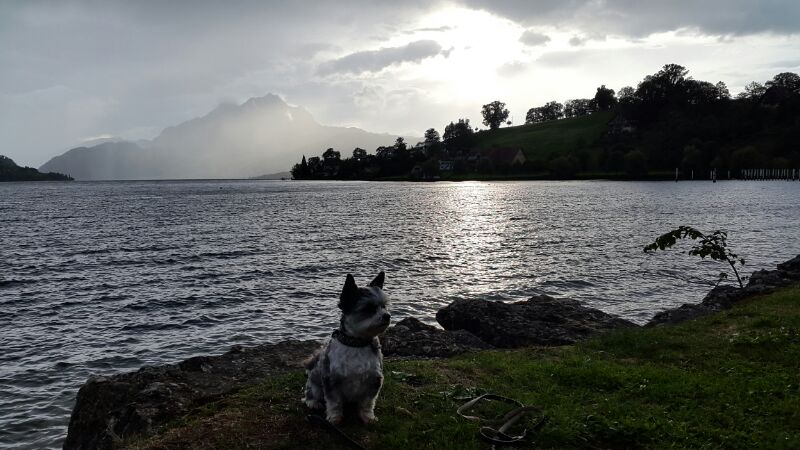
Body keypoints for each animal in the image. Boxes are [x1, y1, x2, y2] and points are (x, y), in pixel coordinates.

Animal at [303, 271, 391, 425]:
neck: (356, 343)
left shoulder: (373, 380)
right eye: (369, 308)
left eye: (384, 306)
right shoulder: (331, 380)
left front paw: (368, 417)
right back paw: (313, 402)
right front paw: (334, 418)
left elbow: (368, 403)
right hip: (315, 384)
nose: (387, 316)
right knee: (311, 393)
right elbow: (334, 403)